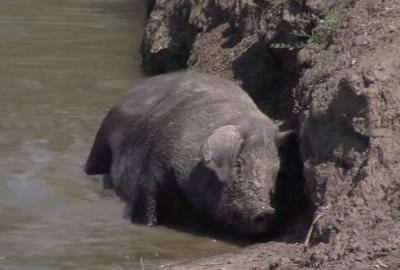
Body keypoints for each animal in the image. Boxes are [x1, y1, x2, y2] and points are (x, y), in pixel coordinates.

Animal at [86, 70, 290, 235]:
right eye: (239, 164)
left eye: (276, 172)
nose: (266, 211)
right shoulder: (153, 166)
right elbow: (146, 204)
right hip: (100, 141)